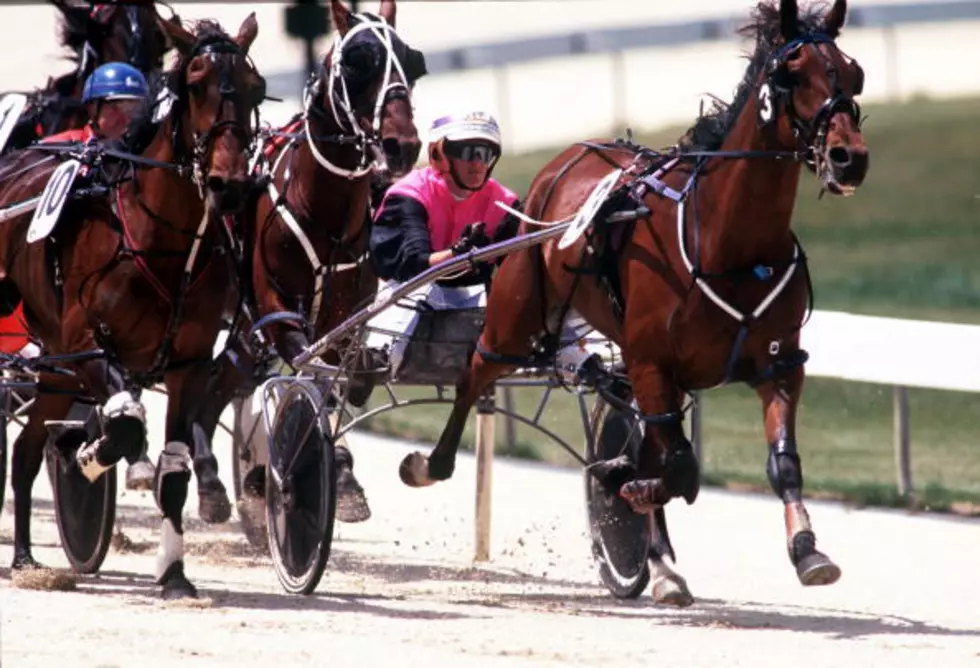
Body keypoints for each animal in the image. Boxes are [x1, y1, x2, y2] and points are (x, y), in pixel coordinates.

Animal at [402, 0, 868, 604]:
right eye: (792, 74)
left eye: (854, 74)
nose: (848, 158)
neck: (729, 243)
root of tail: (568, 158)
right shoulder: (652, 362)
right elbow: (678, 467)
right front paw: (628, 484)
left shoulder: (778, 363)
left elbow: (778, 463)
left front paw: (808, 550)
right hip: (515, 315)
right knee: (476, 371)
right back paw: (430, 463)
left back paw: (659, 555)